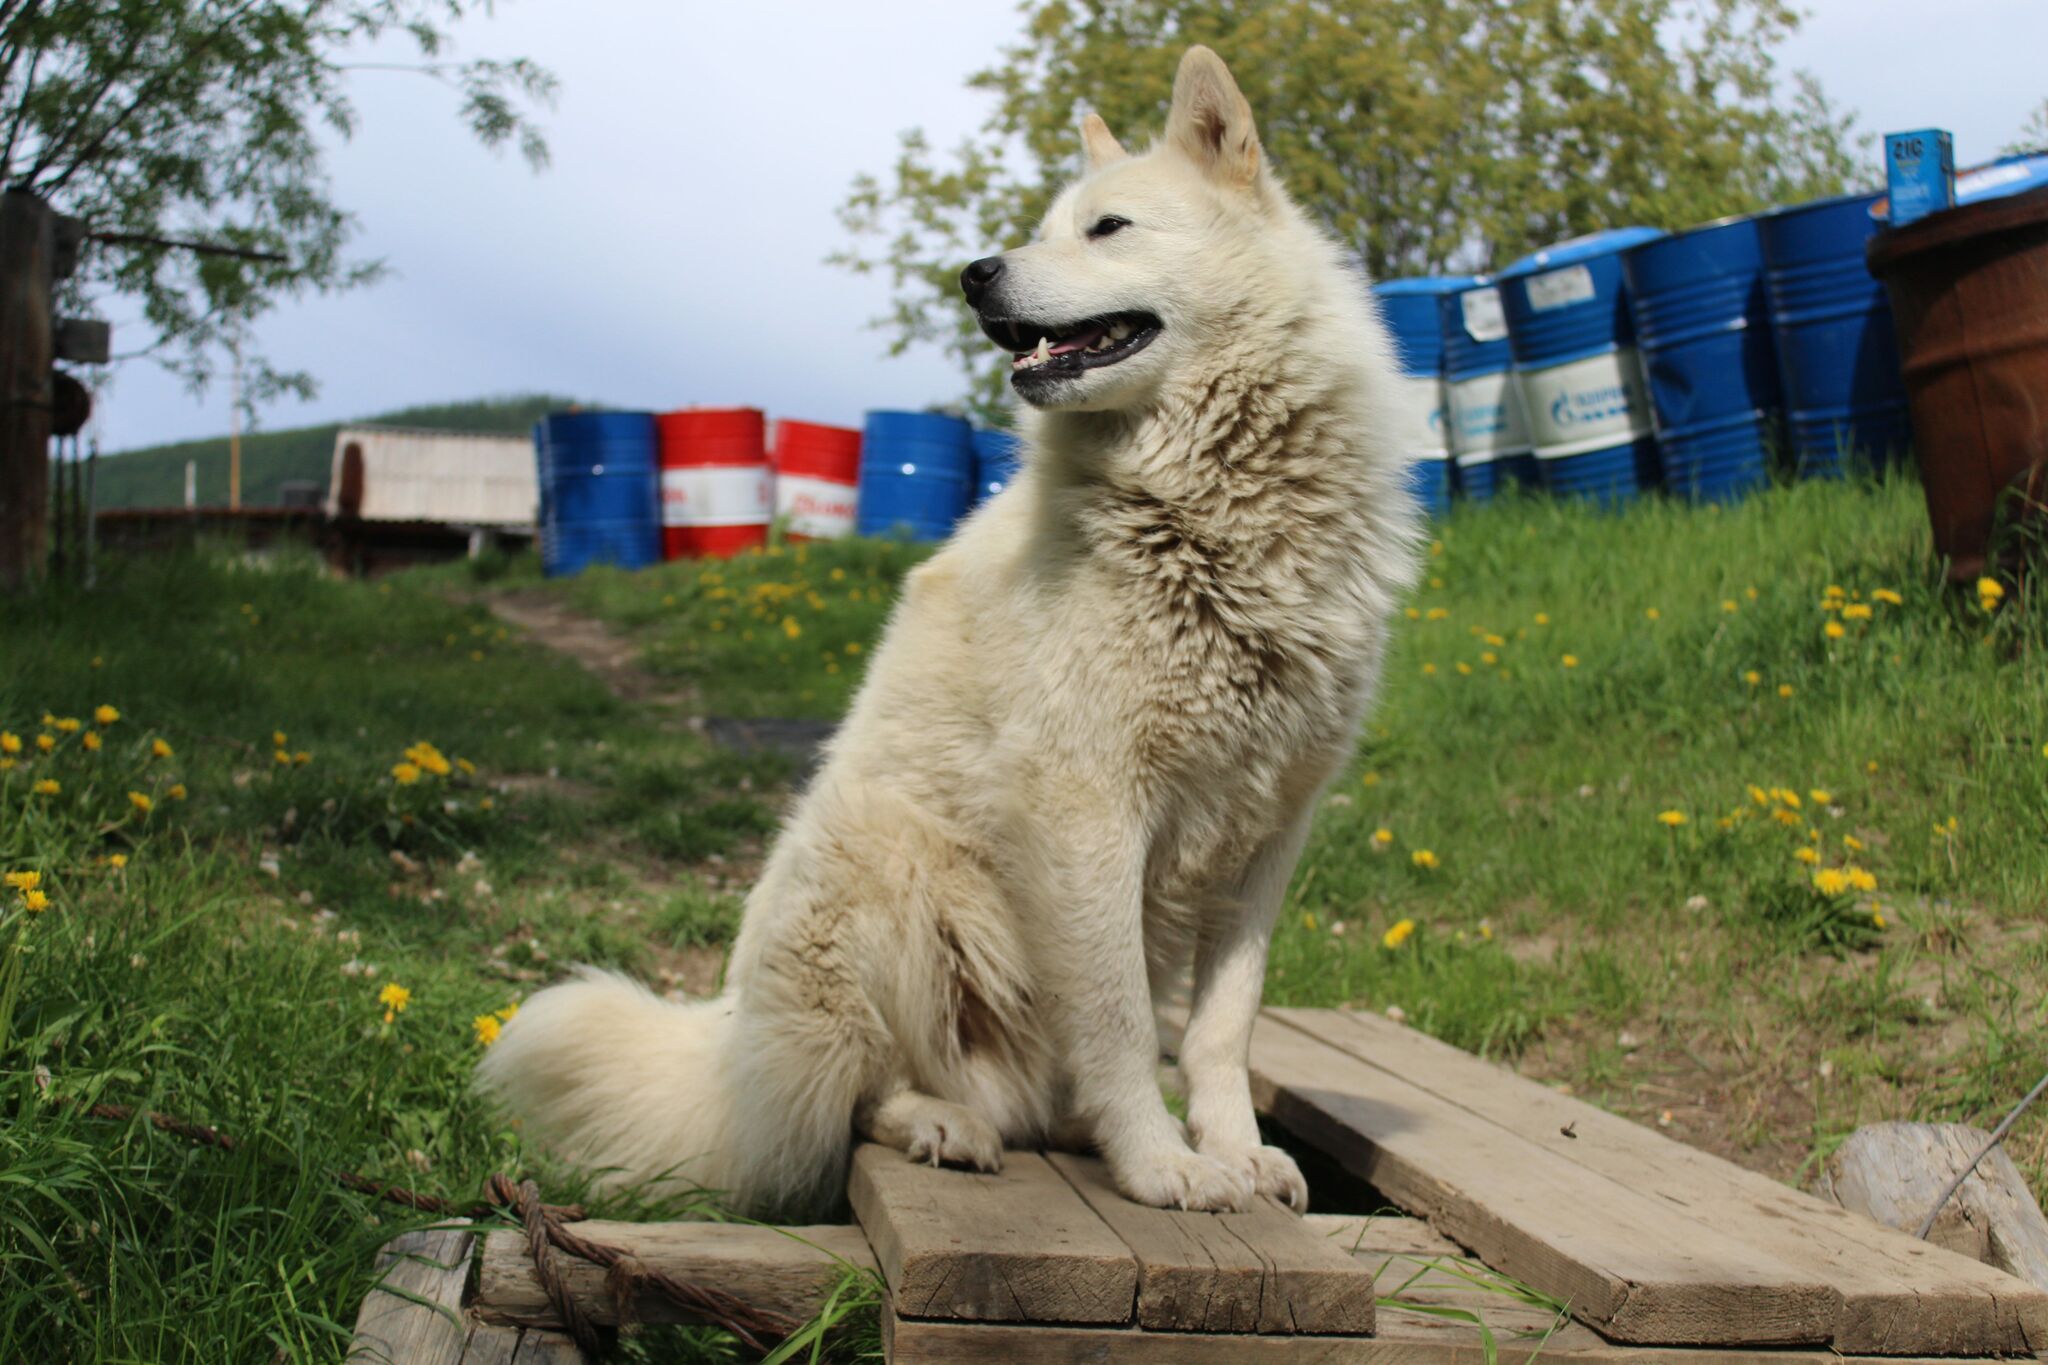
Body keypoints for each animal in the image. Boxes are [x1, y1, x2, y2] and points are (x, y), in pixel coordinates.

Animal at [475, 48, 1425, 1219]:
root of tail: (730, 1051)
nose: (974, 274)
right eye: (1045, 227)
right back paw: (941, 1122)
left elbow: (1219, 1029)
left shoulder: (1268, 827)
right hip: (888, 862)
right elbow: (1120, 1020)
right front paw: (1160, 1167)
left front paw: (1236, 1153)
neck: (1205, 509)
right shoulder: (1086, 808)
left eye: (1107, 228)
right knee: (854, 1096)